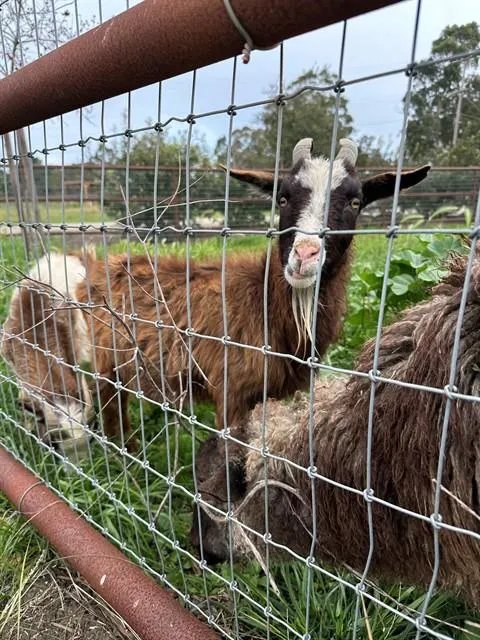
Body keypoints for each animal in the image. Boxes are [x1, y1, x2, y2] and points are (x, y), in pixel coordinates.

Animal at [1, 139, 429, 448]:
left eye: (356, 201)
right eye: (283, 198)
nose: (305, 255)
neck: (265, 305)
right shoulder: (231, 393)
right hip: (88, 365)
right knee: (96, 411)